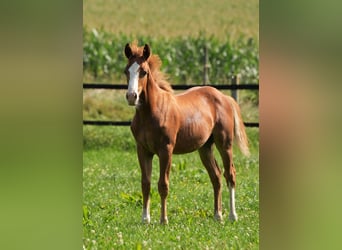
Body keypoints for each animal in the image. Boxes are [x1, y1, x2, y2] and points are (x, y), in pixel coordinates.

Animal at [124, 41, 250, 225]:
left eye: (143, 72)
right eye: (126, 70)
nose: (132, 96)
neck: (151, 112)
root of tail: (225, 97)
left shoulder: (166, 150)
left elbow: (163, 184)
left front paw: (163, 220)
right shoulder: (143, 150)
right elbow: (145, 183)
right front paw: (145, 219)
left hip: (225, 144)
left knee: (230, 175)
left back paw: (232, 216)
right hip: (205, 148)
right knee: (216, 176)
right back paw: (217, 215)